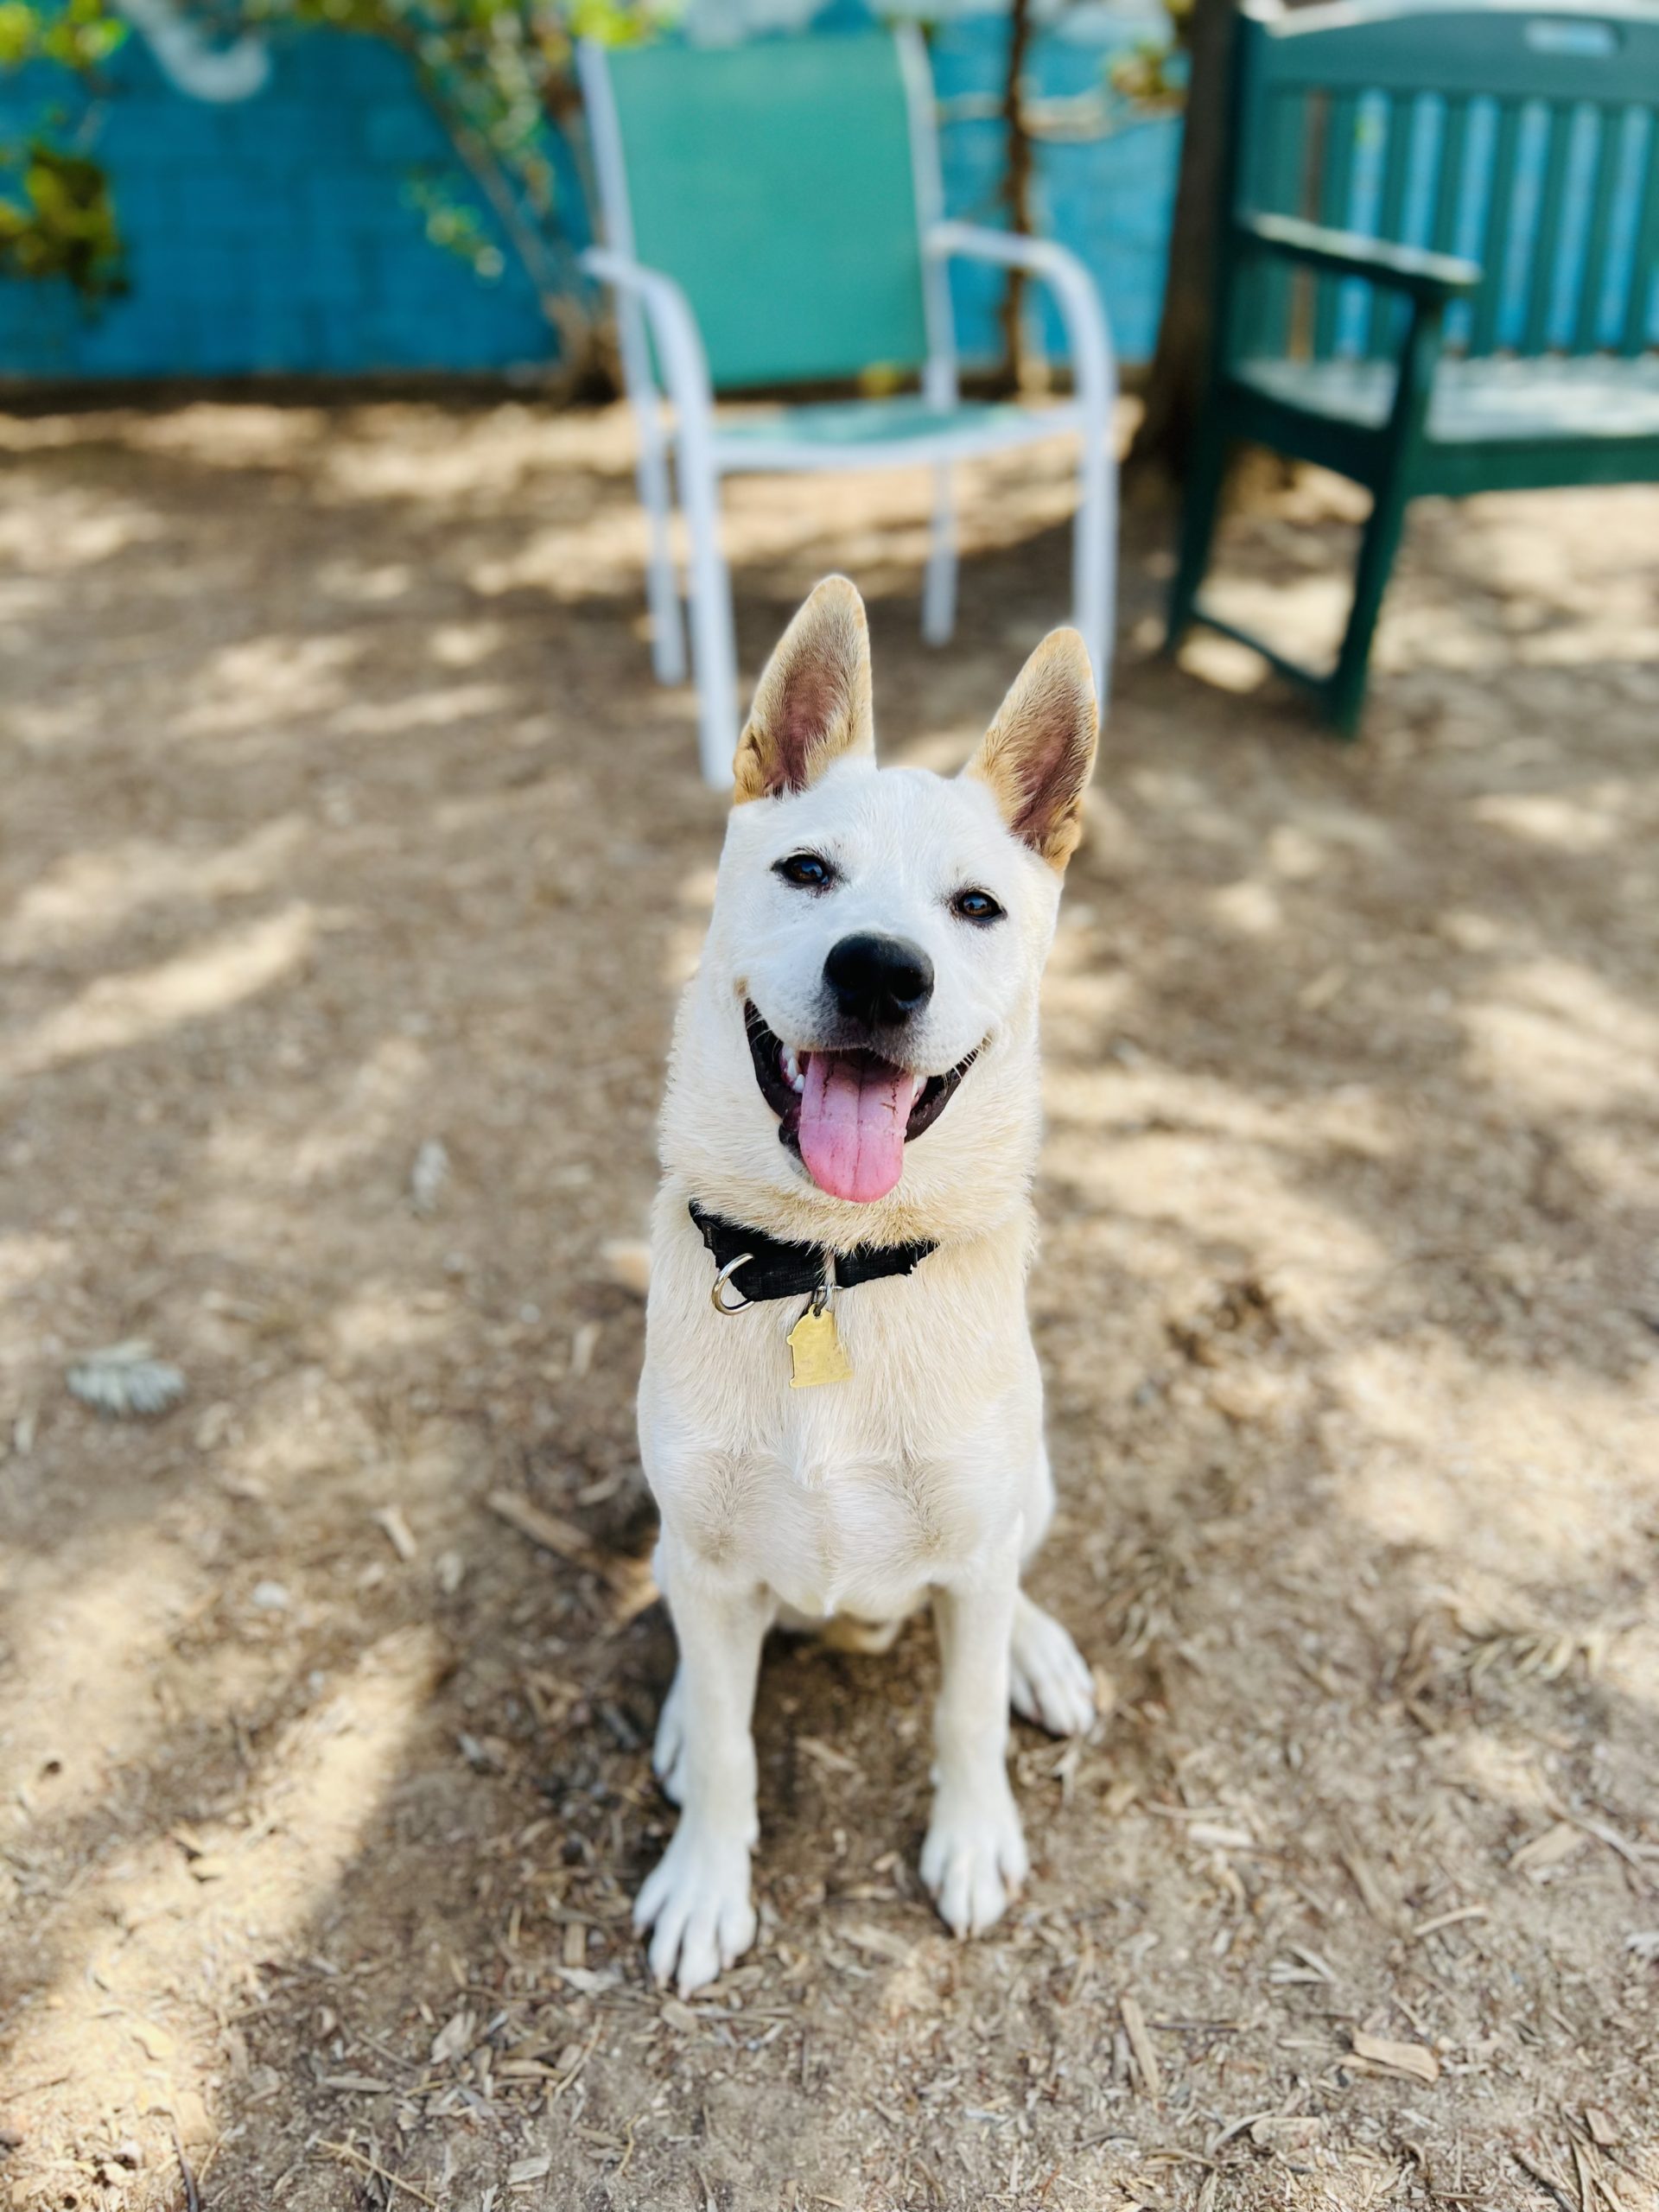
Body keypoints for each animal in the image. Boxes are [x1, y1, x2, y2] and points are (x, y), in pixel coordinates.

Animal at [637, 579, 1106, 1999]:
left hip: (1028, 1483)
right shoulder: (711, 1562)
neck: (833, 1273)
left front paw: (972, 1838)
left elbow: (963, 1712)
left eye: (977, 907)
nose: (882, 971)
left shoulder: (972, 1551)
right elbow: (728, 1742)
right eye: (807, 871)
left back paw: (1041, 1653)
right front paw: (705, 1879)